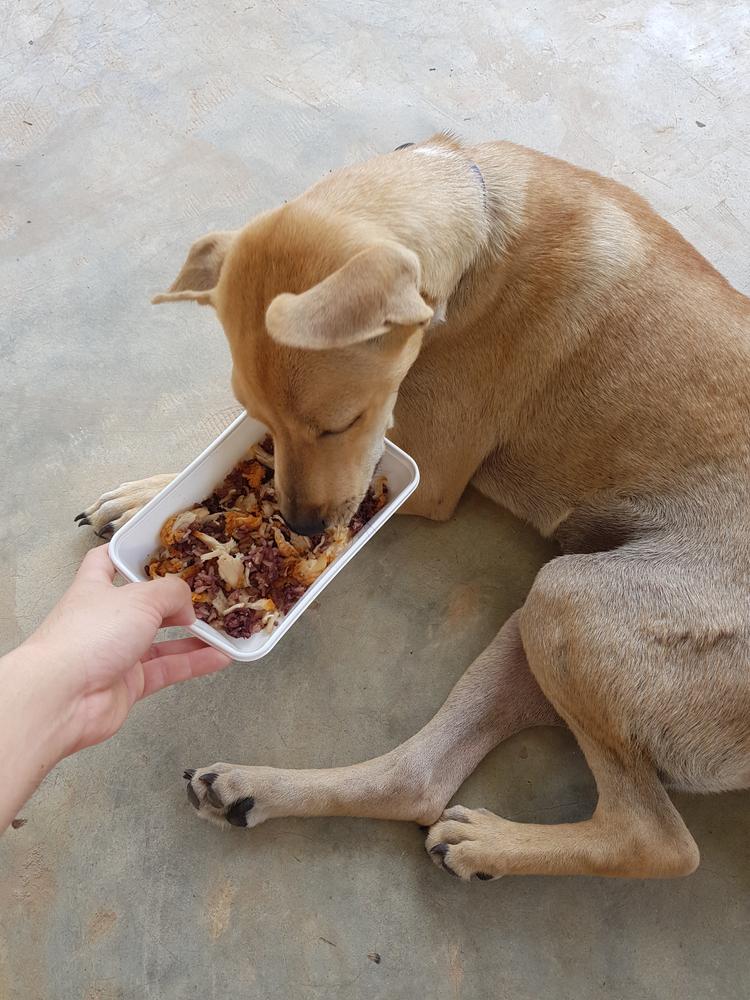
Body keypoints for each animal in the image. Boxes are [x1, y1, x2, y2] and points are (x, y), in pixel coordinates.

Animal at [79, 133, 750, 880]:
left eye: (340, 423)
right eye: (259, 416)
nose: (304, 529)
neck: (479, 230)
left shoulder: (425, 476)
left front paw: (152, 492)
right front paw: (152, 494)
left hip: (572, 600)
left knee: (655, 840)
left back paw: (495, 844)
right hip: (543, 625)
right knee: (418, 780)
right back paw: (259, 792)